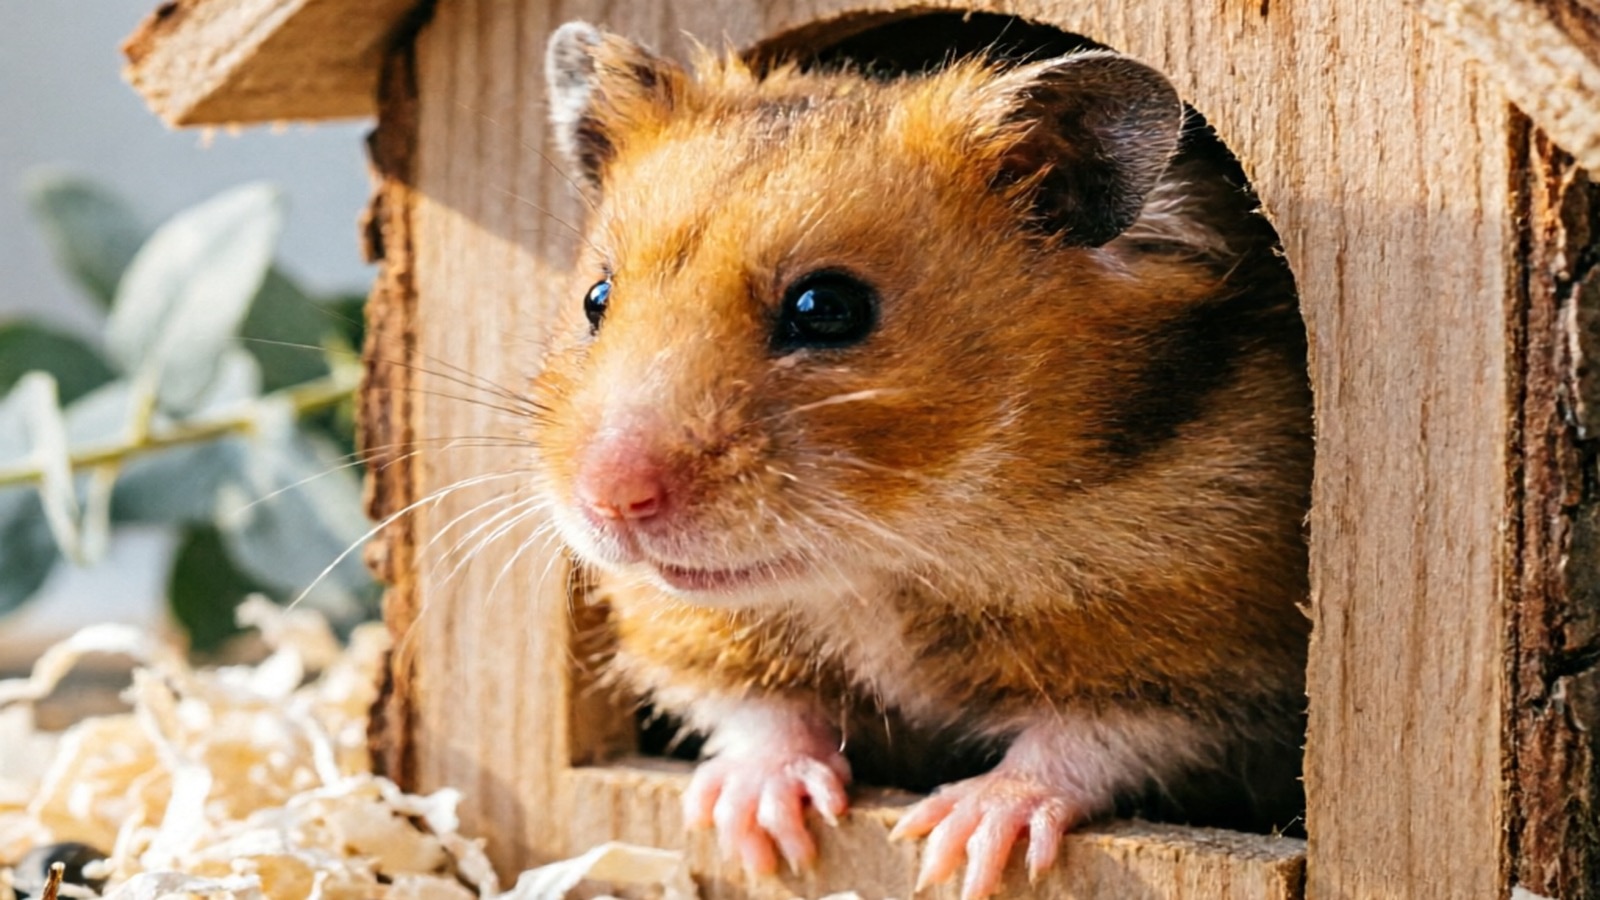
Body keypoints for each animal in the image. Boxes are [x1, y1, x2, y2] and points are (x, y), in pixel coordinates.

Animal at [533, 21, 1312, 899]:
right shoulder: (692, 627)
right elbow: (757, 709)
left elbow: (1092, 734)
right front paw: (760, 829)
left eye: (826, 309)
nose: (609, 500)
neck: (898, 557)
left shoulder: (1214, 652)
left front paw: (963, 840)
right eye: (596, 298)